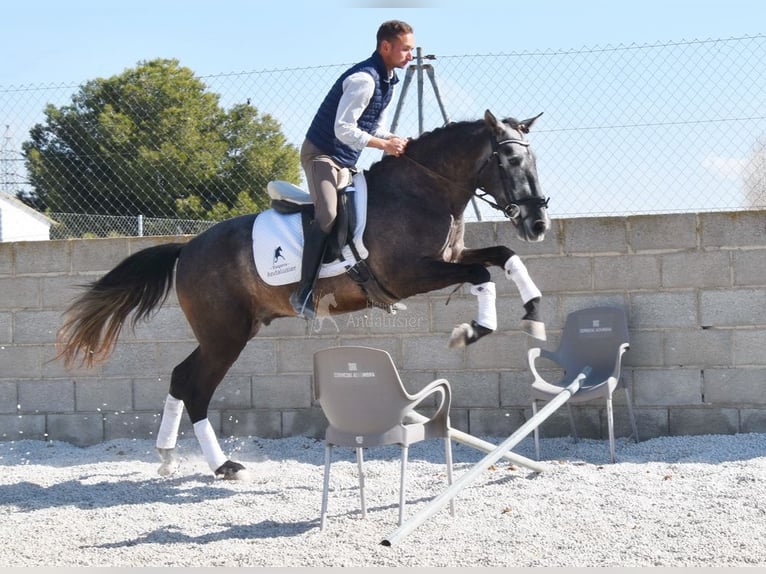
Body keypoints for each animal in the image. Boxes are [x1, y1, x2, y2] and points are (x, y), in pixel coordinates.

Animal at [56, 109, 551, 480]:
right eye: (509, 161)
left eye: (534, 161)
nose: (538, 224)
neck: (422, 189)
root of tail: (187, 247)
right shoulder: (409, 274)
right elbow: (481, 271)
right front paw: (474, 329)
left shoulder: (449, 257)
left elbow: (503, 256)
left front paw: (533, 311)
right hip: (225, 337)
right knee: (196, 389)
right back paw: (224, 466)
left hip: (228, 332)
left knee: (180, 377)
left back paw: (167, 457)